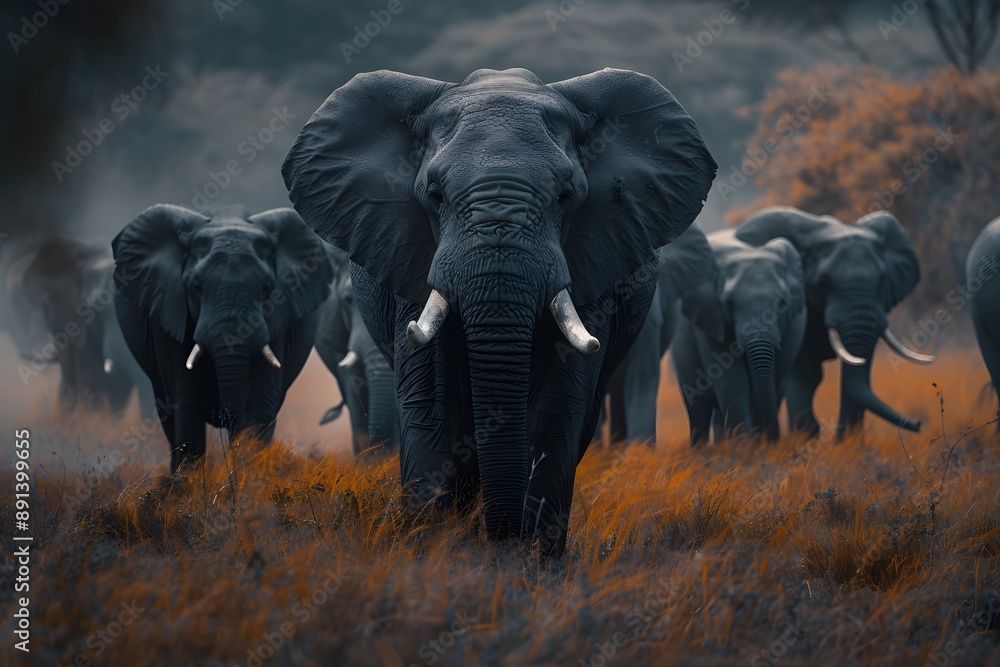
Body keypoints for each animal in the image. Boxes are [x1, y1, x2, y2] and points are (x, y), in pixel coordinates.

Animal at [112, 205, 332, 473]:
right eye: (196, 287)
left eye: (267, 287)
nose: (223, 418)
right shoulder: (168, 312)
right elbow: (186, 405)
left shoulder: (279, 318)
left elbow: (259, 405)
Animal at [672, 230, 807, 445]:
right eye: (729, 303)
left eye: (782, 302)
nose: (774, 436)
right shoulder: (711, 317)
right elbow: (732, 382)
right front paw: (742, 446)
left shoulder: (791, 326)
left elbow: (775, 376)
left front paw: (759, 445)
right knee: (698, 408)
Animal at [734, 207, 934, 439]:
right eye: (824, 283)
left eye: (882, 280)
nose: (919, 424)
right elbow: (805, 375)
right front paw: (806, 438)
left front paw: (849, 443)